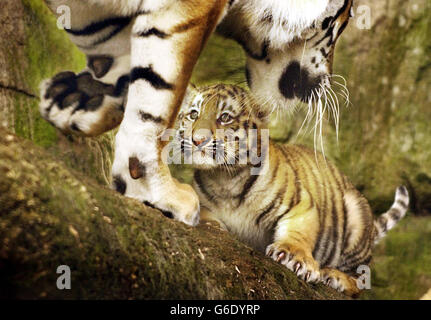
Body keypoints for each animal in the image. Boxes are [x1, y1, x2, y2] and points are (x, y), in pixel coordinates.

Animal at [38, 0, 352, 225]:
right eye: (342, 23)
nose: (326, 80)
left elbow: (114, 54)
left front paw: (75, 101)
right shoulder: (187, 12)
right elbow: (156, 105)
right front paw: (158, 193)